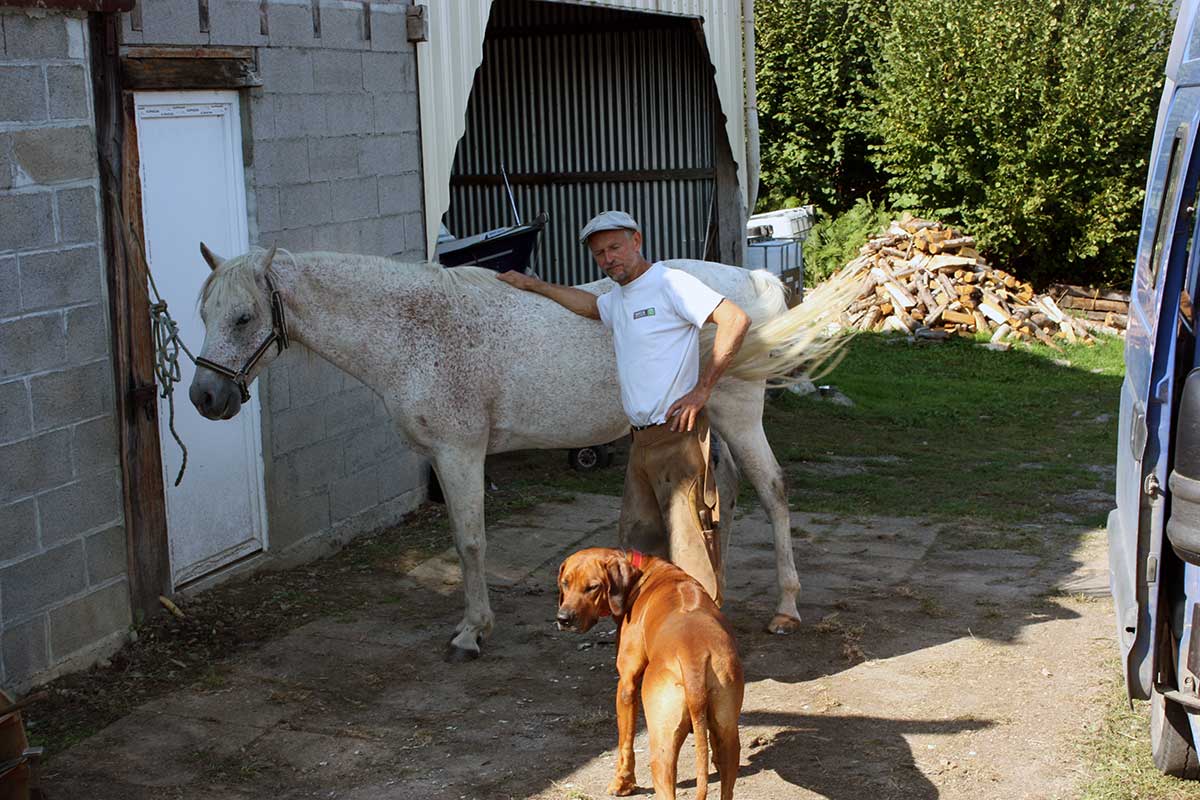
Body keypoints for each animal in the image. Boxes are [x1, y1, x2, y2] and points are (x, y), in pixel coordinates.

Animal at [556, 546, 744, 796]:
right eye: (565, 583)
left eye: (592, 587)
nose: (563, 618)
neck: (642, 575)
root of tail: (693, 659)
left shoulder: (627, 683)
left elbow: (625, 742)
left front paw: (623, 782)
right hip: (728, 730)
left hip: (661, 741)